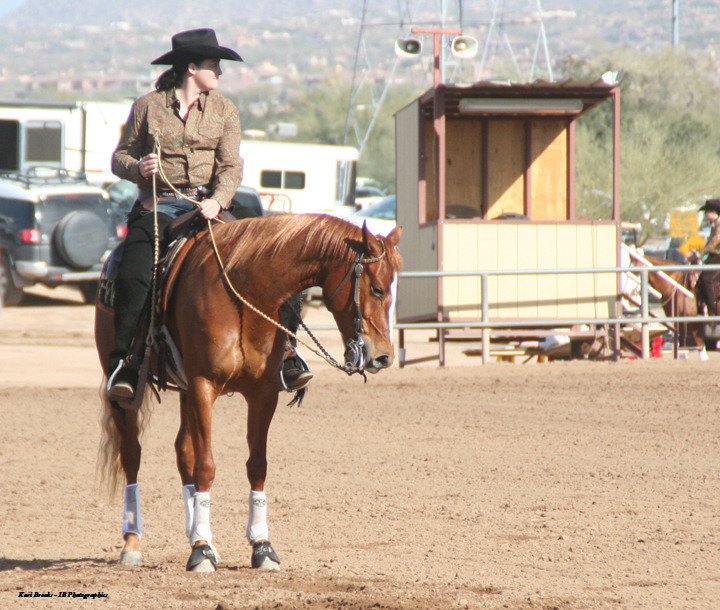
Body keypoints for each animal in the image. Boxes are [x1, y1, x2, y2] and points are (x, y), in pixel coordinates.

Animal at [95, 213, 403, 572]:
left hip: (185, 392)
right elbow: (206, 466)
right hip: (127, 394)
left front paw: (260, 545)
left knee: (183, 452)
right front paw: (200, 551)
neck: (245, 295)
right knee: (132, 453)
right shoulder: (203, 386)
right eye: (377, 288)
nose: (383, 356)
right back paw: (134, 543)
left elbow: (257, 465)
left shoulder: (262, 393)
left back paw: (201, 537)